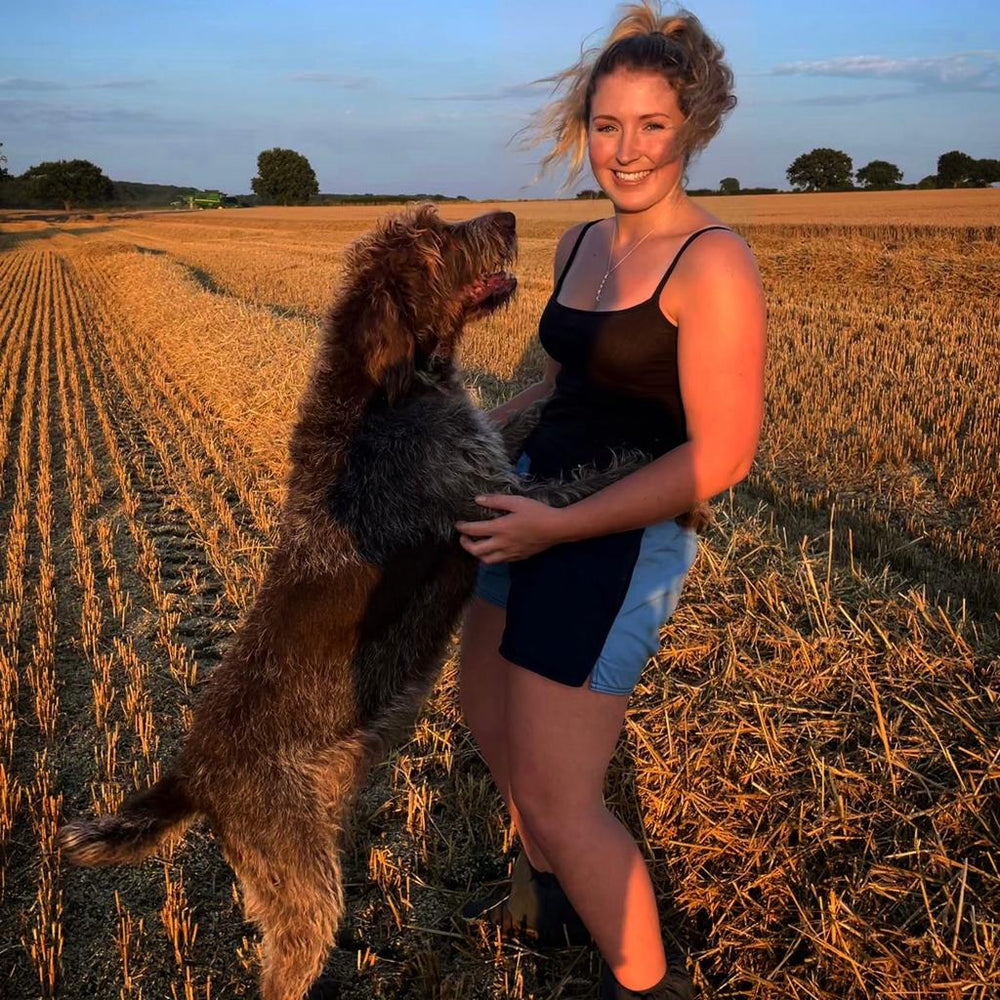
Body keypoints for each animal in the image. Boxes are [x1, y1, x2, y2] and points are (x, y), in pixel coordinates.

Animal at [60, 203, 648, 1000]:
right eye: (433, 240)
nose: (505, 217)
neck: (385, 387)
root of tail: (193, 775)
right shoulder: (497, 507)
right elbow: (577, 487)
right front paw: (639, 459)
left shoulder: (487, 453)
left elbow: (516, 425)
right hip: (302, 886)